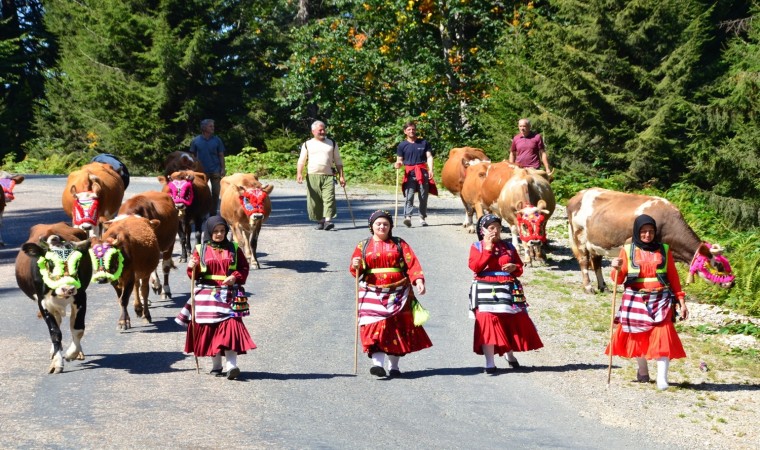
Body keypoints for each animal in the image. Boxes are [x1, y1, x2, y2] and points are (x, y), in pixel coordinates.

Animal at [14, 221, 91, 372]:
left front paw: (71, 353)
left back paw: (78, 352)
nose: (68, 288)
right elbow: (55, 332)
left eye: (77, 262)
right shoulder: (43, 302)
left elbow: (78, 328)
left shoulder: (81, 297)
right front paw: (57, 362)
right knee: (58, 323)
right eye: (50, 262)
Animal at [564, 187, 736, 296]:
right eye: (719, 265)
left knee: (596, 262)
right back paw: (588, 287)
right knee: (584, 261)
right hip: (579, 235)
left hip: (596, 241)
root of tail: (578, 195)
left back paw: (603, 287)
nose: (732, 283)